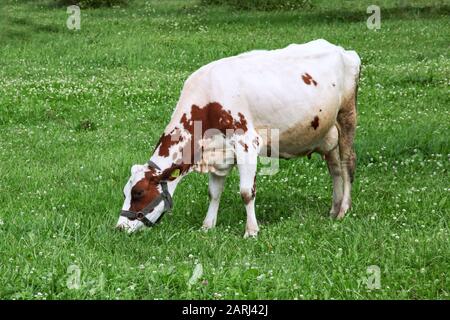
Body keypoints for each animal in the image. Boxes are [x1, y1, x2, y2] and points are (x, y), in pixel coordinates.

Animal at [117, 38, 362, 236]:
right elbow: (214, 193)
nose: (119, 227)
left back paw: (343, 210)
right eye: (125, 191)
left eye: (138, 192)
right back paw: (333, 209)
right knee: (334, 168)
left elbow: (246, 192)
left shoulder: (247, 143)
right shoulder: (217, 151)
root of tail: (343, 50)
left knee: (347, 162)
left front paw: (251, 231)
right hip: (326, 132)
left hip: (347, 115)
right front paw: (207, 226)